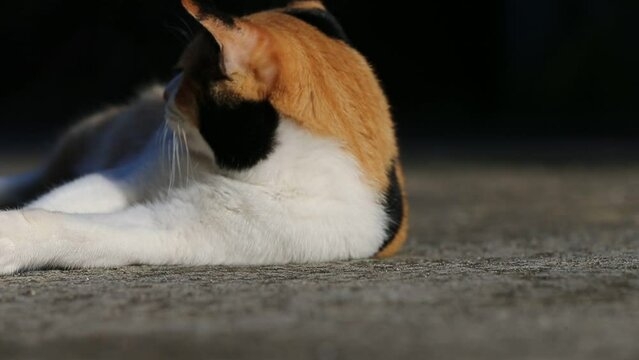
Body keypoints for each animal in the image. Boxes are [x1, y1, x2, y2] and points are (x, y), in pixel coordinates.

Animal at [0, 0, 410, 274]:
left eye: (186, 75)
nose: (165, 93)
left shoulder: (170, 226)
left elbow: (68, 225)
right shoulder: (129, 176)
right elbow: (56, 200)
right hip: (93, 138)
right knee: (41, 176)